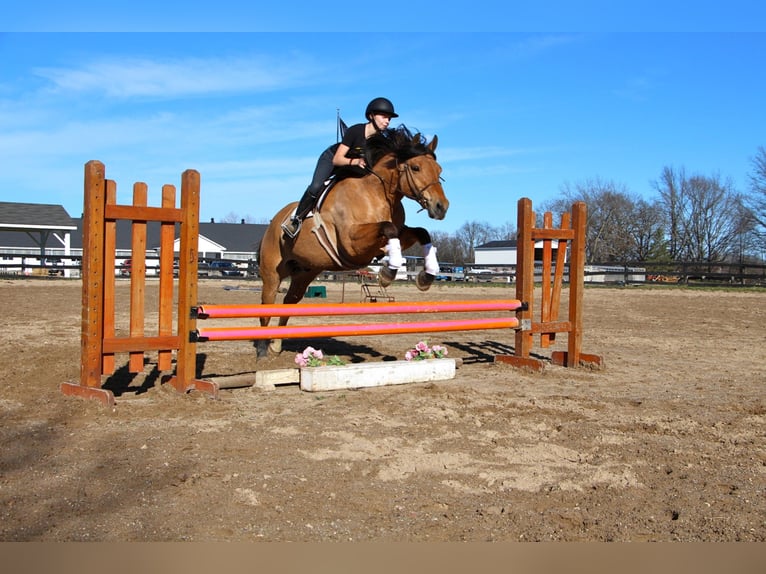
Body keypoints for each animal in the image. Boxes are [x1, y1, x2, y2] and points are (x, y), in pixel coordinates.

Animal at [258, 126, 450, 356]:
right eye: (416, 167)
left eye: (439, 170)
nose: (441, 207)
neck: (376, 193)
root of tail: (274, 221)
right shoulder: (352, 244)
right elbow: (388, 227)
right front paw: (388, 273)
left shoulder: (396, 235)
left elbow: (421, 233)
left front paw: (426, 276)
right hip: (272, 273)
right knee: (267, 304)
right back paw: (262, 349)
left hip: (305, 273)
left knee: (289, 301)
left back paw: (276, 344)